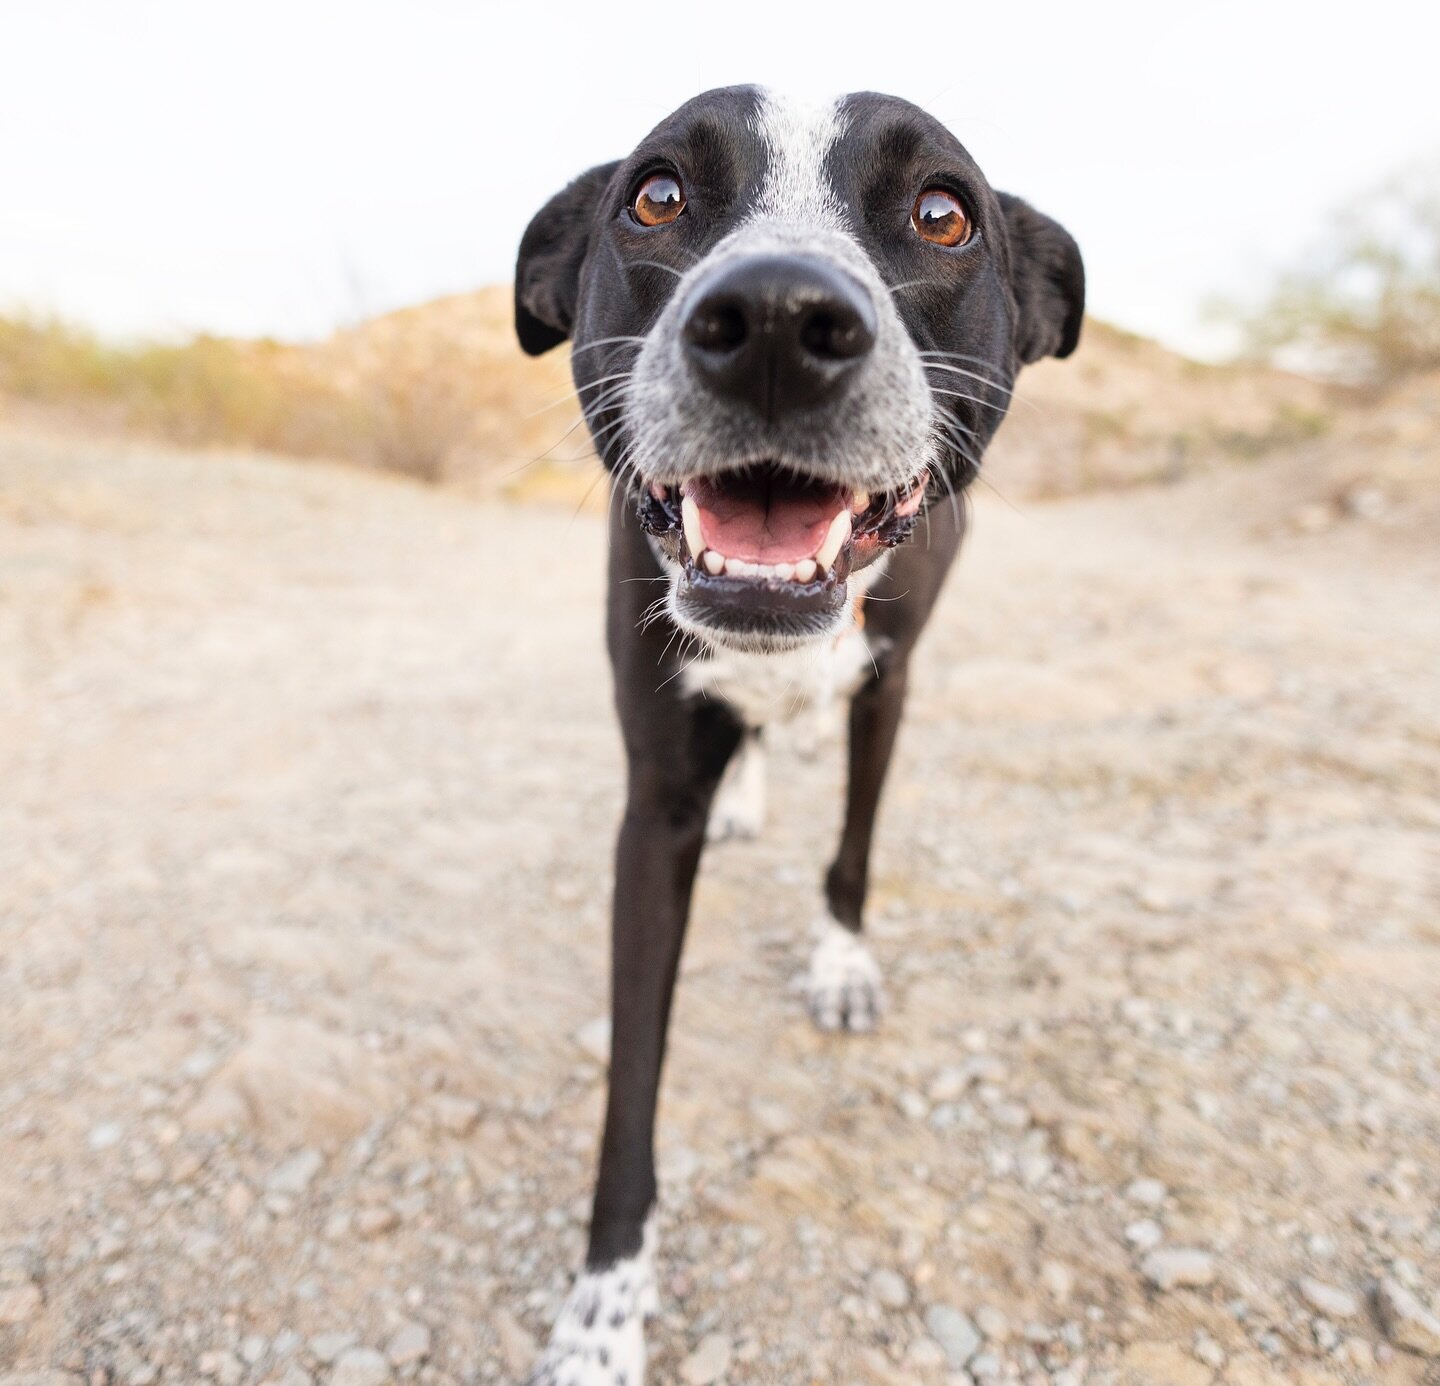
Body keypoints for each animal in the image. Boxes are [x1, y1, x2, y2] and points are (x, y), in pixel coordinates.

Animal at [512, 89, 1082, 1383]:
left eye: (943, 212)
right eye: (656, 194)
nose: (777, 316)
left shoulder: (892, 688)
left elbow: (854, 853)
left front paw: (840, 968)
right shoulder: (653, 806)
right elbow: (631, 1086)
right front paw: (604, 1315)